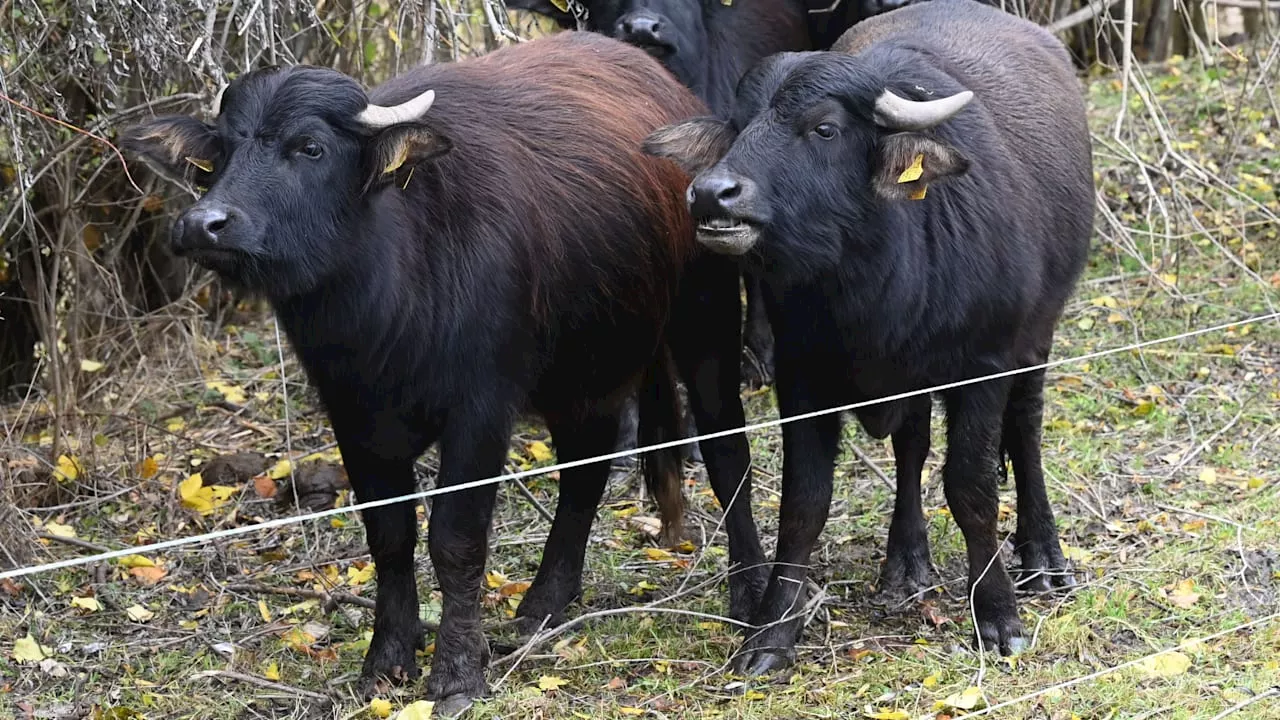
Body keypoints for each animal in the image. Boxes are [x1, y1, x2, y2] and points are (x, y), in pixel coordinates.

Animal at [117, 30, 757, 707]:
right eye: (219, 154)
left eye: (310, 146)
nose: (202, 224)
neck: (389, 296)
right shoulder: (353, 413)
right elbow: (388, 536)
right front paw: (387, 658)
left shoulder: (481, 409)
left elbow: (455, 539)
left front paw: (455, 673)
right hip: (584, 367)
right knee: (586, 467)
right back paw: (544, 603)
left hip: (705, 314)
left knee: (726, 450)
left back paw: (748, 597)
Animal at [645, 0, 1095, 671]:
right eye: (739, 126)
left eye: (824, 129)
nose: (711, 194)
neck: (872, 282)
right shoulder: (804, 377)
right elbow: (803, 503)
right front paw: (771, 633)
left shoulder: (984, 364)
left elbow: (971, 488)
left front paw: (997, 614)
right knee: (911, 446)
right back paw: (905, 562)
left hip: (1036, 336)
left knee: (1026, 426)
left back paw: (1043, 557)